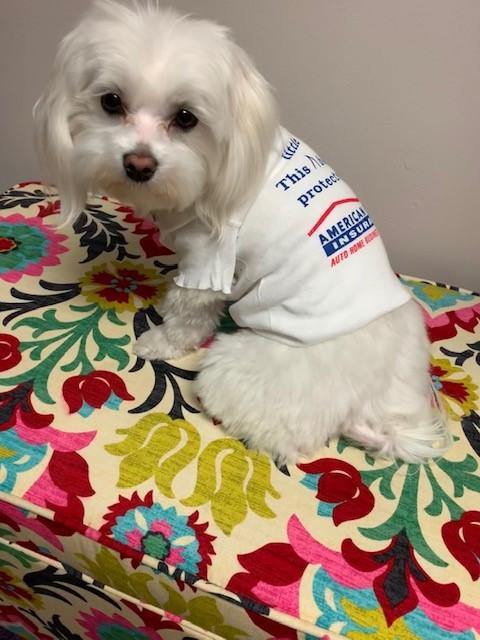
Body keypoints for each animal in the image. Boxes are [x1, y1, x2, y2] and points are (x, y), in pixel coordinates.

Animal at [35, 2, 448, 468]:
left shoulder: (209, 257)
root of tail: (374, 408)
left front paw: (159, 340)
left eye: (186, 117)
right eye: (110, 101)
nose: (139, 164)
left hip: (241, 370)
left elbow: (188, 313)